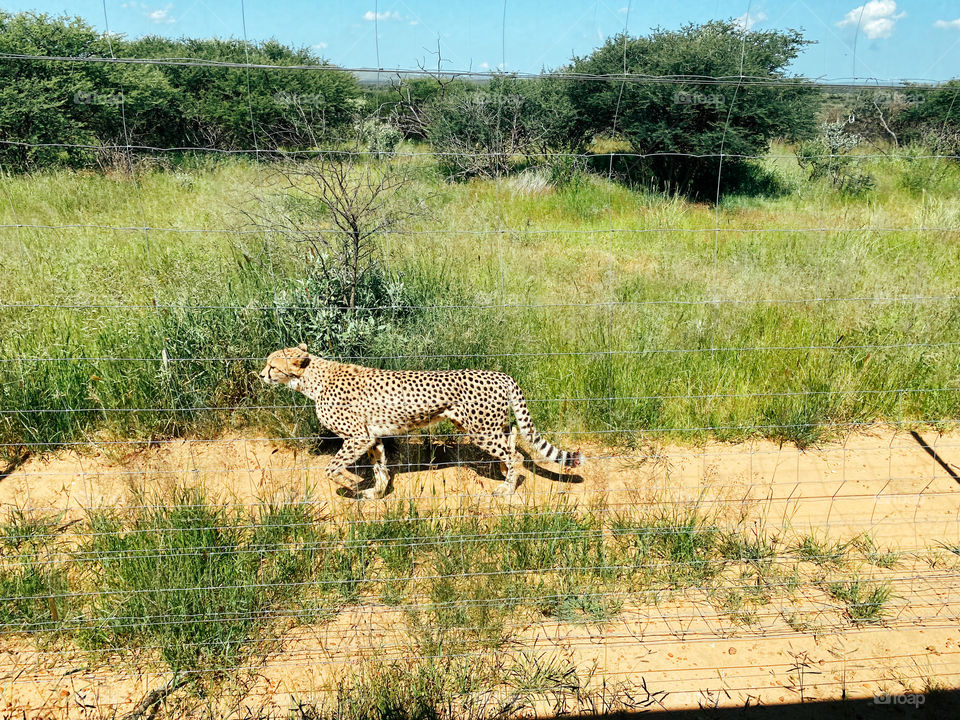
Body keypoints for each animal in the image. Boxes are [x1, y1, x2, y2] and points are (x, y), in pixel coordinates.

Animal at [258, 346, 580, 498]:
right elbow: (380, 466)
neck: (314, 379)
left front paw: (350, 485)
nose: (261, 375)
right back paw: (503, 472)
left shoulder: (357, 437)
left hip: (480, 430)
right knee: (512, 437)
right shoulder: (371, 437)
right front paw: (376, 493)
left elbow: (331, 468)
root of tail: (501, 374)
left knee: (516, 455)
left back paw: (508, 488)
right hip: (486, 425)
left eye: (272, 365)